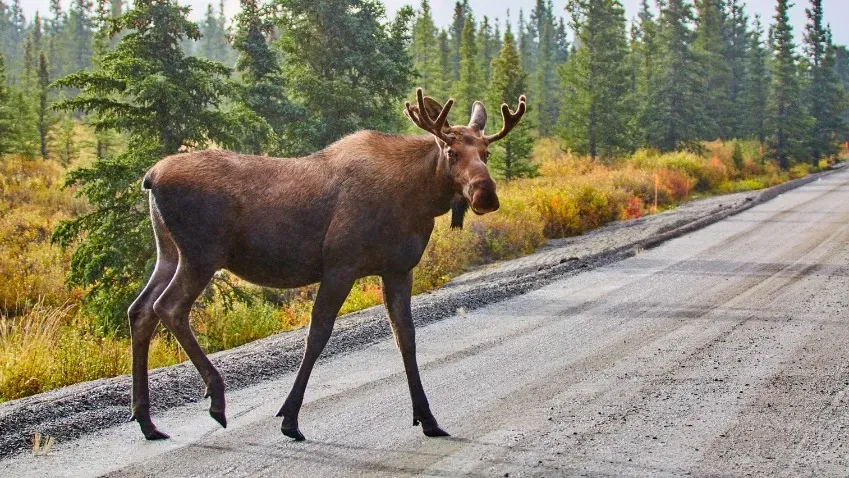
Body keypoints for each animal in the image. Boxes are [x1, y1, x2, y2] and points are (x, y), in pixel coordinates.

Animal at [127, 88, 524, 440]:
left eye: (486, 152)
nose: (485, 194)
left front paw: (427, 418)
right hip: (201, 254)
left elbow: (406, 337)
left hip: (169, 253)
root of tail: (150, 177)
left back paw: (147, 422)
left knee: (140, 309)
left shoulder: (397, 269)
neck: (418, 198)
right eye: (451, 151)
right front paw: (289, 418)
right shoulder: (340, 265)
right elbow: (317, 335)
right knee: (168, 307)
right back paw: (216, 398)